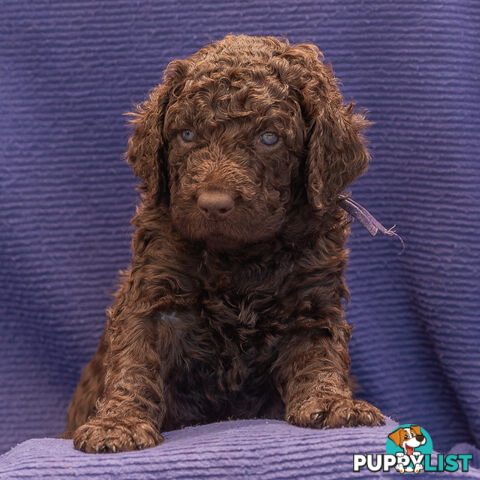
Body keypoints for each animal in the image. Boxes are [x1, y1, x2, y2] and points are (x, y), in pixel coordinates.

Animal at [64, 34, 386, 454]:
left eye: (269, 138)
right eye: (186, 135)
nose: (213, 203)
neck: (239, 259)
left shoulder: (311, 299)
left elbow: (318, 354)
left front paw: (332, 403)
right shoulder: (153, 293)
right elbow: (134, 359)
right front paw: (118, 423)